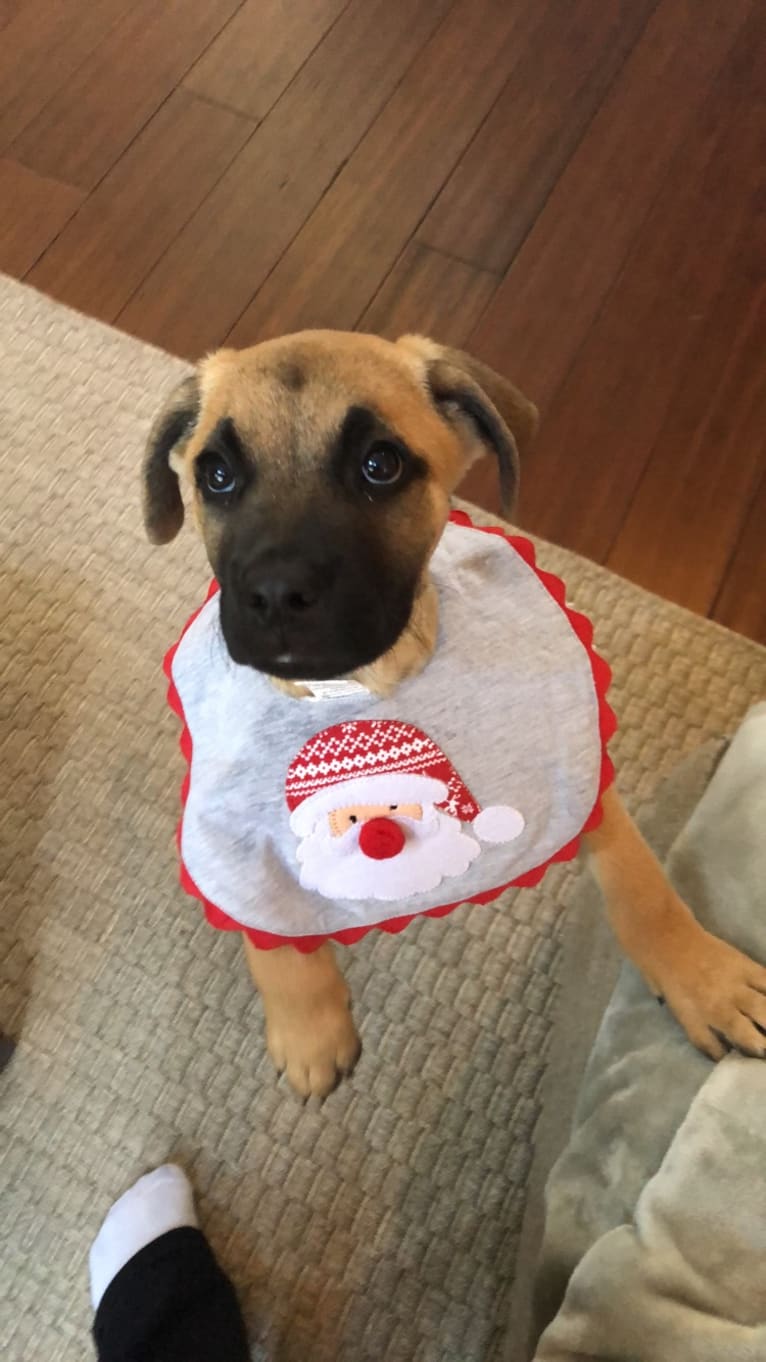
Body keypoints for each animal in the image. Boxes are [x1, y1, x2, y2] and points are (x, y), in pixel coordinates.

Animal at [141, 335, 763, 1100]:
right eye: (217, 474)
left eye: (380, 465)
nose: (276, 595)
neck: (366, 686)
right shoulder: (231, 839)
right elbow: (273, 930)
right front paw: (310, 1031)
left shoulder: (585, 780)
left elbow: (641, 885)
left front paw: (702, 978)